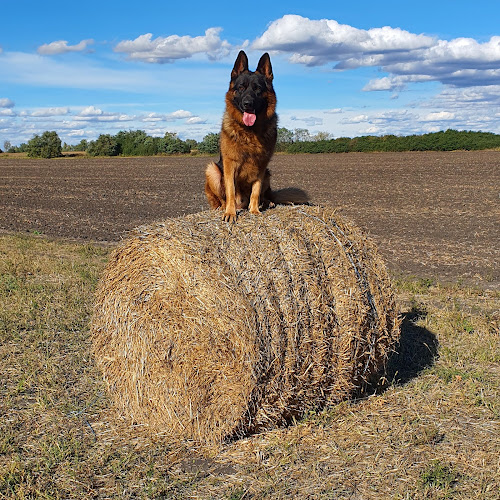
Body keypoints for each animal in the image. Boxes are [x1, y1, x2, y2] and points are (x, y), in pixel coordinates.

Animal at [204, 50, 278, 223]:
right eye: (241, 88)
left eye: (257, 89)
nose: (247, 103)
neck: (249, 131)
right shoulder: (229, 164)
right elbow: (230, 190)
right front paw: (230, 213)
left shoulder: (261, 165)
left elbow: (256, 190)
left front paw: (255, 210)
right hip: (212, 170)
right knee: (221, 199)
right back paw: (224, 208)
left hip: (268, 173)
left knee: (262, 194)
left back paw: (266, 203)